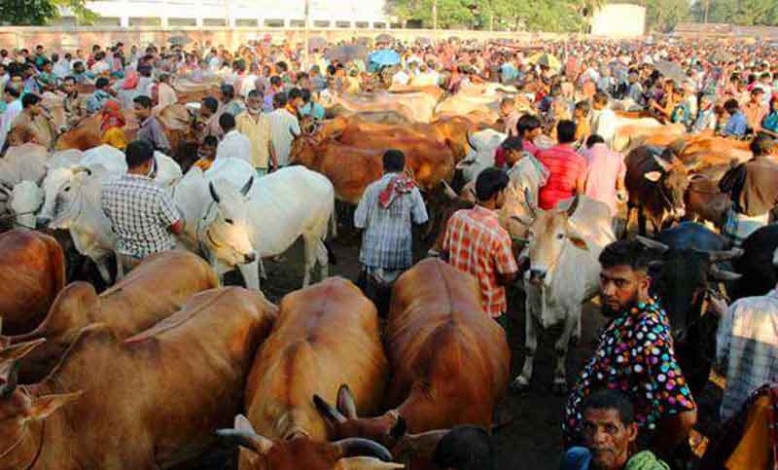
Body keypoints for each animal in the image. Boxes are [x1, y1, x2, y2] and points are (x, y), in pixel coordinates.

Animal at [173, 159, 334, 290]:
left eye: (246, 217)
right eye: (228, 219)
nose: (249, 255)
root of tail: (325, 181)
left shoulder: (249, 265)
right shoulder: (216, 264)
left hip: (312, 233)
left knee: (310, 263)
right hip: (313, 234)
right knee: (323, 255)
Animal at [512, 195, 616, 392]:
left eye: (561, 235)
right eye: (531, 233)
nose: (536, 274)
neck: (550, 286)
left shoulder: (571, 310)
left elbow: (561, 348)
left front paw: (559, 379)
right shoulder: (529, 306)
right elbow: (530, 346)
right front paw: (523, 377)